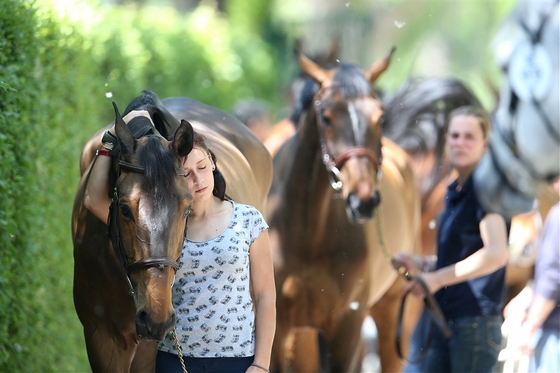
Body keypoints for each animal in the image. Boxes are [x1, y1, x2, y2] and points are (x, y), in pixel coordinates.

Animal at [266, 50, 420, 372]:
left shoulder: (347, 326)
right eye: (326, 118)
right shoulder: (279, 328)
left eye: (381, 117)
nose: (363, 201)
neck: (308, 236)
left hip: (392, 311)